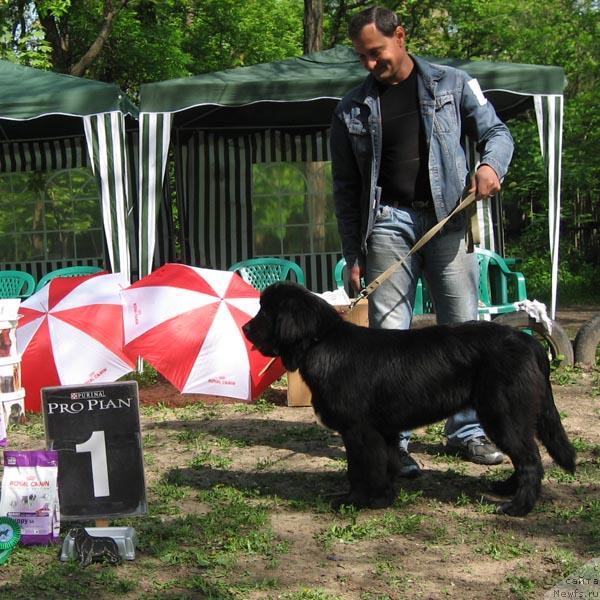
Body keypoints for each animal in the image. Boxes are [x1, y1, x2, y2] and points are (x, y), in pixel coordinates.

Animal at [244, 282, 576, 516]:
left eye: (266, 312)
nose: (246, 329)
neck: (321, 341)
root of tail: (529, 342)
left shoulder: (359, 430)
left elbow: (361, 469)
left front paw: (356, 501)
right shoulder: (383, 431)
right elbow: (385, 464)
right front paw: (384, 497)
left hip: (502, 414)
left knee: (530, 459)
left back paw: (517, 507)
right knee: (524, 458)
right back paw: (506, 489)